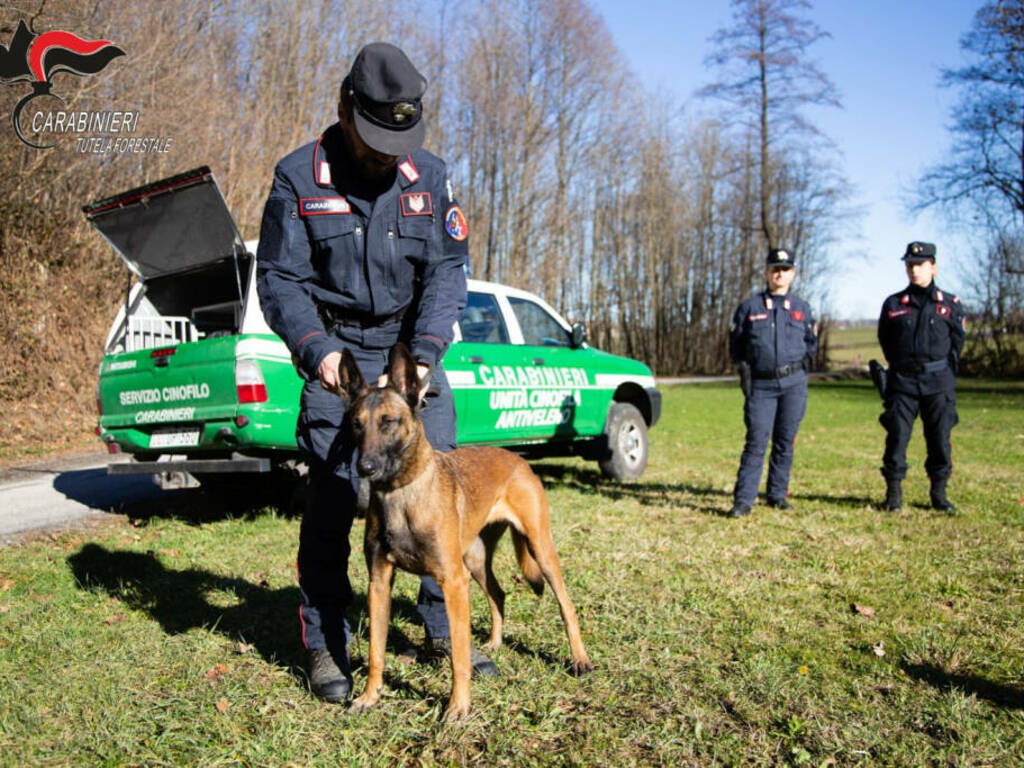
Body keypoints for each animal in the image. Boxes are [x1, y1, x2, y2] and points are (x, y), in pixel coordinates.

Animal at [337, 342, 593, 720]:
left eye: (389, 422)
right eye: (356, 425)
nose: (365, 467)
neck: (401, 492)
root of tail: (518, 459)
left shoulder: (452, 581)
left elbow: (458, 654)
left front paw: (458, 707)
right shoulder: (379, 583)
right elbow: (375, 652)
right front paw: (370, 697)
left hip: (538, 549)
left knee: (566, 605)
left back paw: (579, 659)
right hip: (475, 560)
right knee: (499, 594)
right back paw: (495, 643)